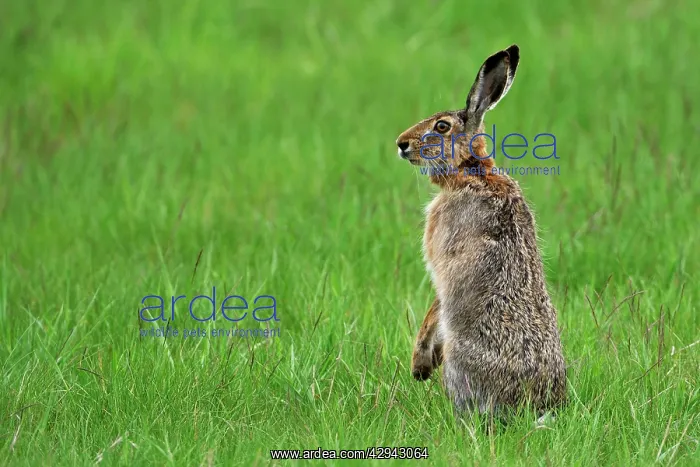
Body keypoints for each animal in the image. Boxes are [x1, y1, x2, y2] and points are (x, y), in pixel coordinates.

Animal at [395, 44, 567, 417]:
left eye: (441, 126)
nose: (401, 144)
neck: (469, 171)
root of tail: (535, 406)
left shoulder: (441, 265)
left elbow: (436, 306)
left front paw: (420, 363)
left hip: (460, 358)